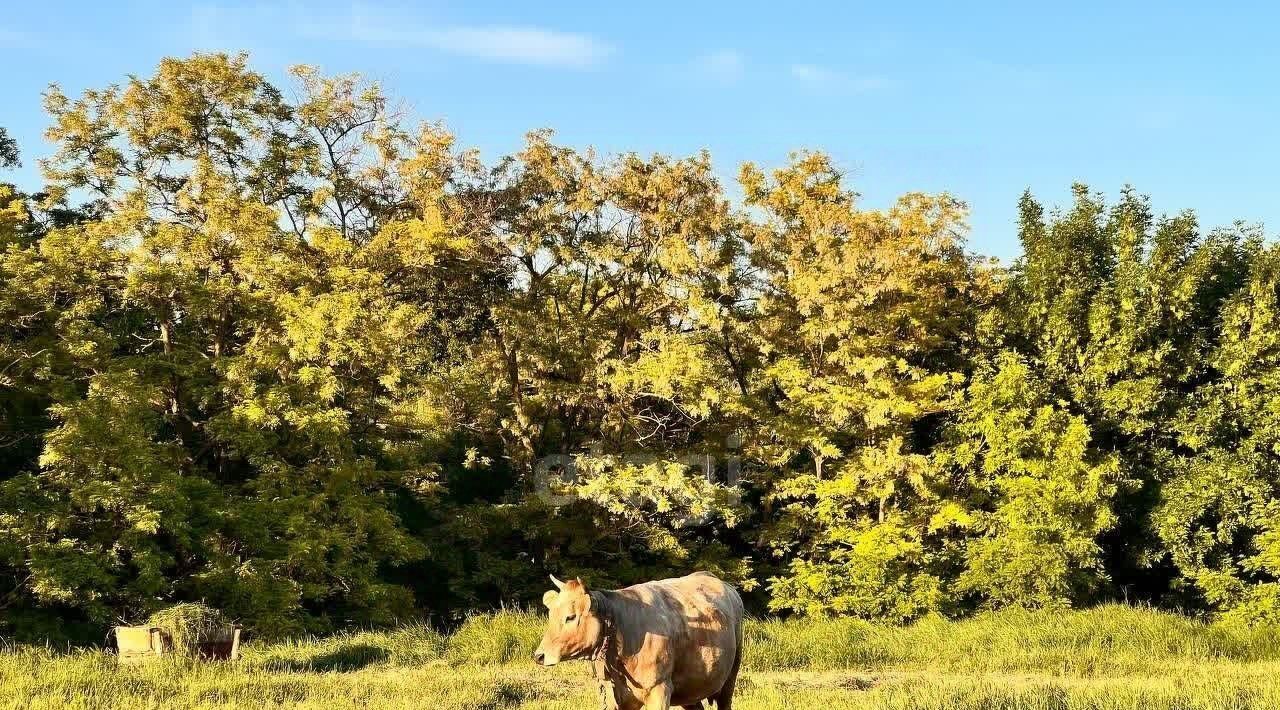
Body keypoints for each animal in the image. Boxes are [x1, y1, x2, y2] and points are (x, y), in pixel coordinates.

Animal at [535, 573, 747, 710]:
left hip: (731, 676)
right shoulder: (615, 697)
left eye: (570, 617)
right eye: (551, 614)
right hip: (691, 685)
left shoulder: (659, 690)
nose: (539, 656)